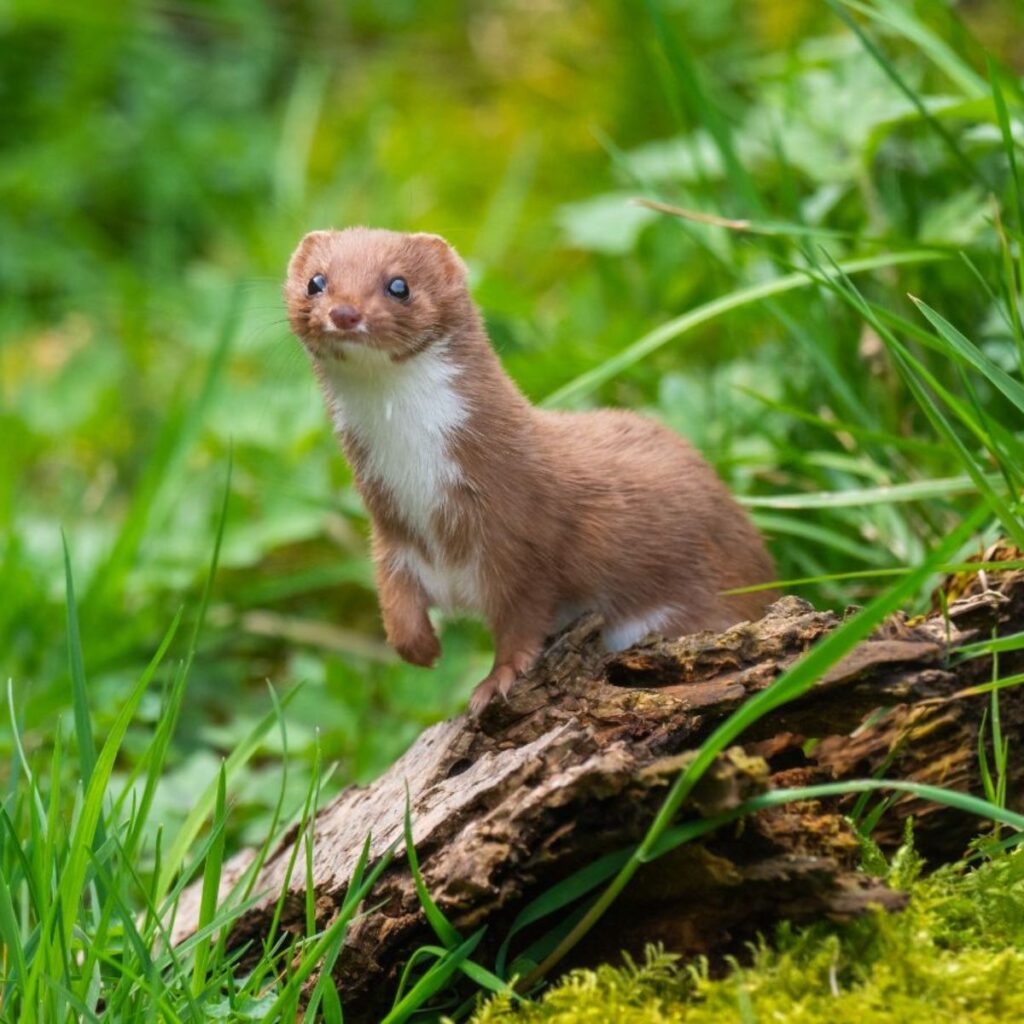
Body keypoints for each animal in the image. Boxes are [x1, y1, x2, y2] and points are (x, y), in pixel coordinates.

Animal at [282, 229, 774, 716]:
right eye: (316, 282)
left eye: (398, 285)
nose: (345, 312)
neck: (423, 488)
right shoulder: (393, 537)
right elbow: (395, 602)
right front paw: (422, 649)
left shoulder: (521, 535)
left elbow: (523, 620)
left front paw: (495, 681)